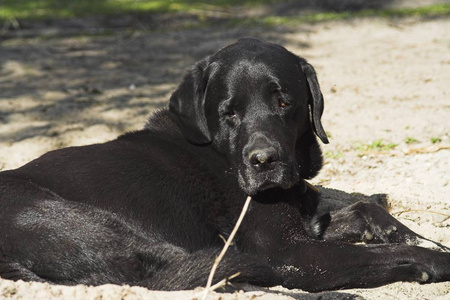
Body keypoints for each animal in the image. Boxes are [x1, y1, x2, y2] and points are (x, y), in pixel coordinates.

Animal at [0, 37, 450, 290]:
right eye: (229, 112)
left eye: (283, 102)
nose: (264, 161)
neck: (220, 154)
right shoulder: (291, 252)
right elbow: (379, 252)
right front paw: (430, 260)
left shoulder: (307, 224)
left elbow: (365, 208)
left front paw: (413, 236)